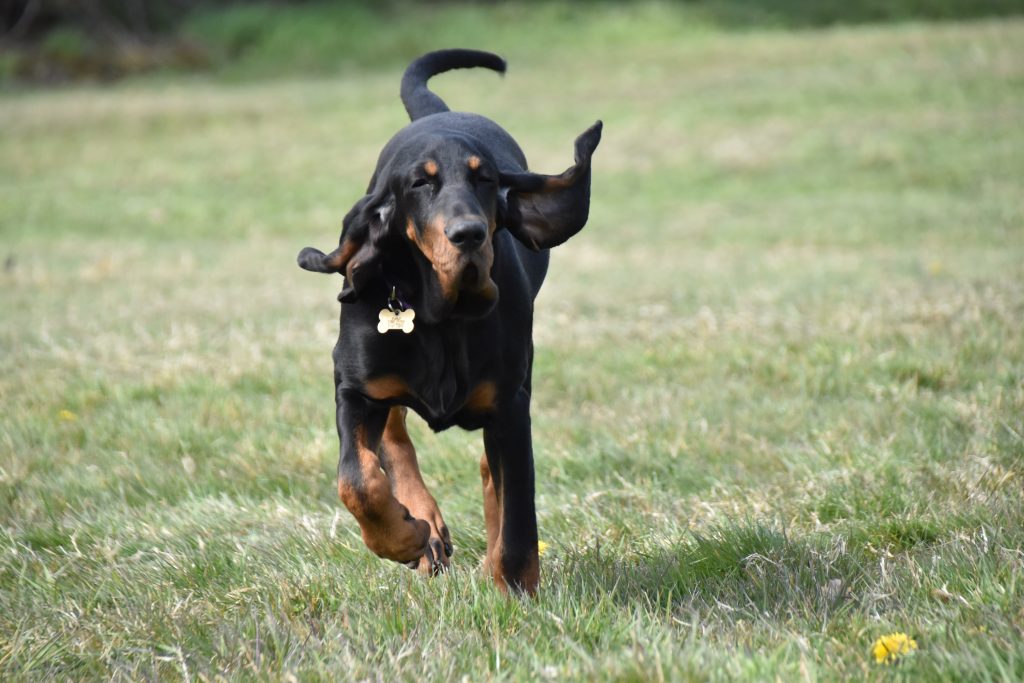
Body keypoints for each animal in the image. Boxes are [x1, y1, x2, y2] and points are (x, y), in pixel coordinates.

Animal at [296, 49, 598, 593]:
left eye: (485, 179)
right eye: (420, 182)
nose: (469, 234)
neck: (443, 316)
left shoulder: (510, 404)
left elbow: (517, 511)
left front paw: (512, 588)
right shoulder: (354, 387)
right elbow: (357, 479)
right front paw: (404, 539)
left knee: (490, 470)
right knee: (395, 435)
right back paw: (426, 528)